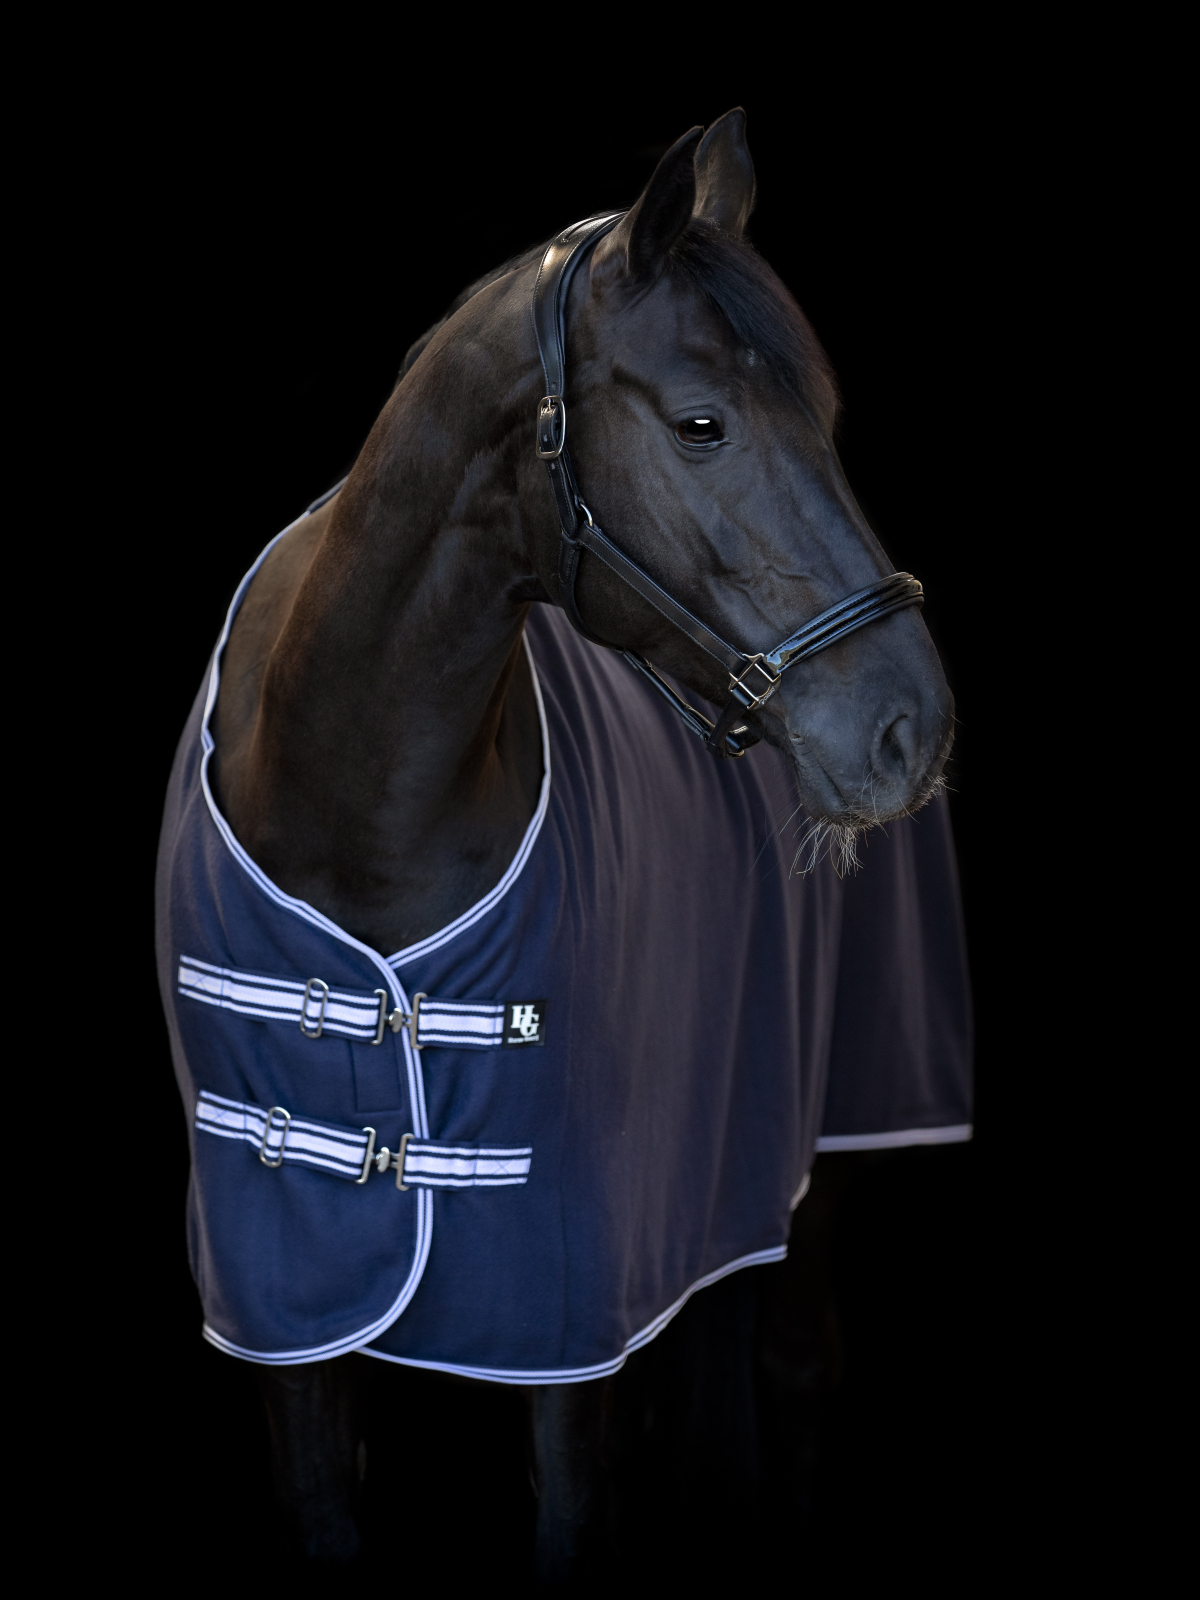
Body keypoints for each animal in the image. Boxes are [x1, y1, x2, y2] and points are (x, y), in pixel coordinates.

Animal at [156, 109, 966, 1581]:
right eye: (702, 424)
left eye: (826, 416)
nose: (908, 727)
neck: (353, 796)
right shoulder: (286, 1308)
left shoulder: (565, 1310)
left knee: (796, 1367)